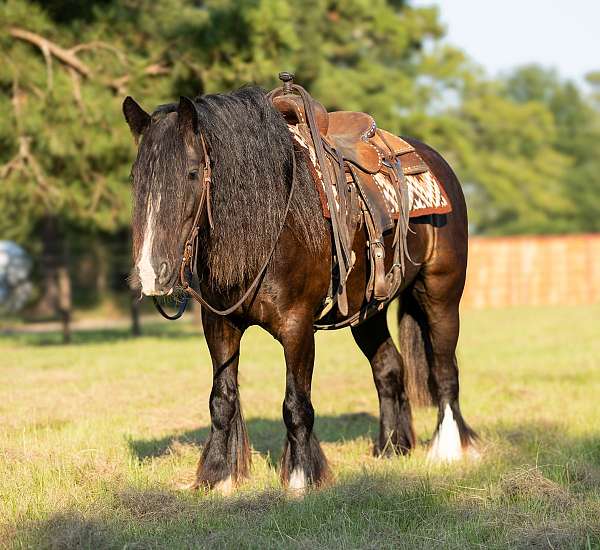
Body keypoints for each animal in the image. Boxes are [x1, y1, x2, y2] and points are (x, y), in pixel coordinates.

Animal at [123, 87, 478, 496]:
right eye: (136, 177)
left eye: (192, 172)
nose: (151, 272)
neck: (273, 221)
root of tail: (434, 161)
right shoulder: (219, 325)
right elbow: (222, 401)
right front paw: (219, 477)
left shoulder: (297, 327)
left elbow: (296, 404)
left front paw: (300, 477)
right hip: (367, 314)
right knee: (389, 368)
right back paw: (390, 448)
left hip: (441, 295)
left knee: (444, 368)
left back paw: (448, 449)